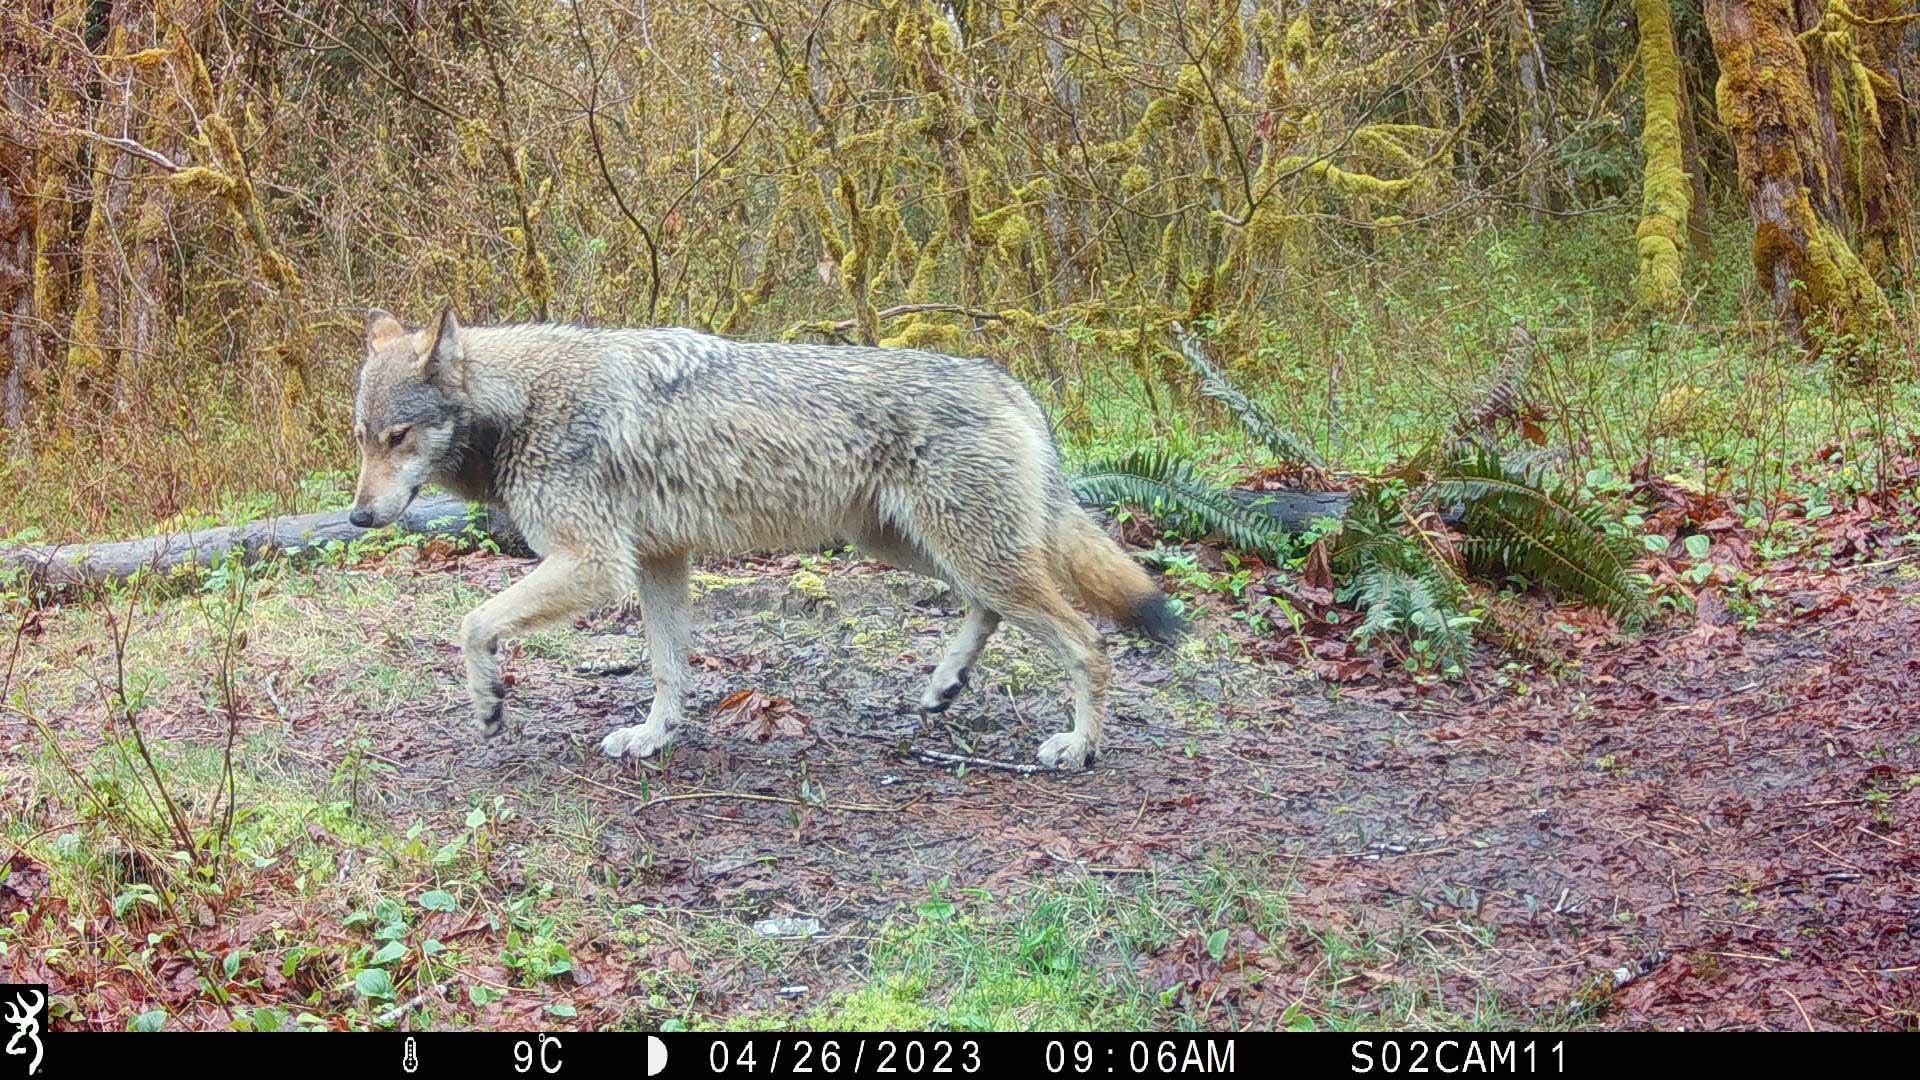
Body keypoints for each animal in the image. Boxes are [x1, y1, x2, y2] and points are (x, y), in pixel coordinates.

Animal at [348, 307, 1184, 769]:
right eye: (361, 438)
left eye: (397, 438)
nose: (357, 518)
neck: (521, 404)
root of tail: (1006, 380)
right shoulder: (658, 562)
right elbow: (667, 669)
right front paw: (654, 739)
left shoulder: (597, 564)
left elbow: (472, 625)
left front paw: (489, 704)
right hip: (919, 548)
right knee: (990, 611)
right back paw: (944, 685)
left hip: (966, 551)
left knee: (1088, 643)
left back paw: (1079, 748)